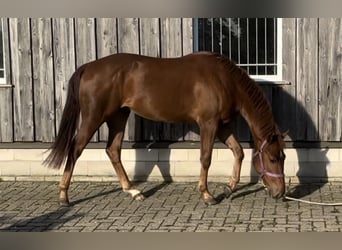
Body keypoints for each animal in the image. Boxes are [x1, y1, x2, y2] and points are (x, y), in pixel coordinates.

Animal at [44, 52, 286, 205]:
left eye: (283, 158)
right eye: (273, 158)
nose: (280, 193)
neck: (224, 80)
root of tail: (88, 67)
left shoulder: (222, 126)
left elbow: (238, 152)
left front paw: (229, 188)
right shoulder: (209, 123)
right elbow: (206, 158)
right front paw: (207, 195)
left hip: (118, 116)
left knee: (113, 150)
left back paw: (133, 191)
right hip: (94, 117)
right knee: (75, 149)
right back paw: (64, 196)